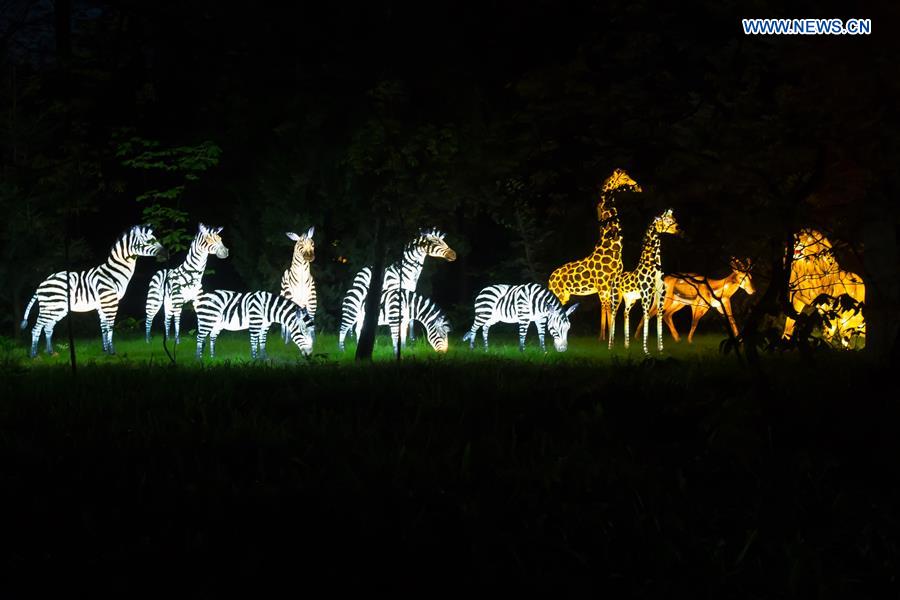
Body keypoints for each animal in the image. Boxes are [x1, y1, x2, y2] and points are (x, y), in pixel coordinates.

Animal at [21, 224, 167, 356]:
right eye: (150, 241)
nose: (167, 254)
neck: (113, 272)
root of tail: (42, 283)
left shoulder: (102, 304)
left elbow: (104, 327)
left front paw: (105, 350)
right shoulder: (110, 302)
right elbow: (110, 326)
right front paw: (112, 352)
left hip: (57, 308)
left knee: (48, 328)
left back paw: (50, 353)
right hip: (50, 306)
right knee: (36, 328)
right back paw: (34, 355)